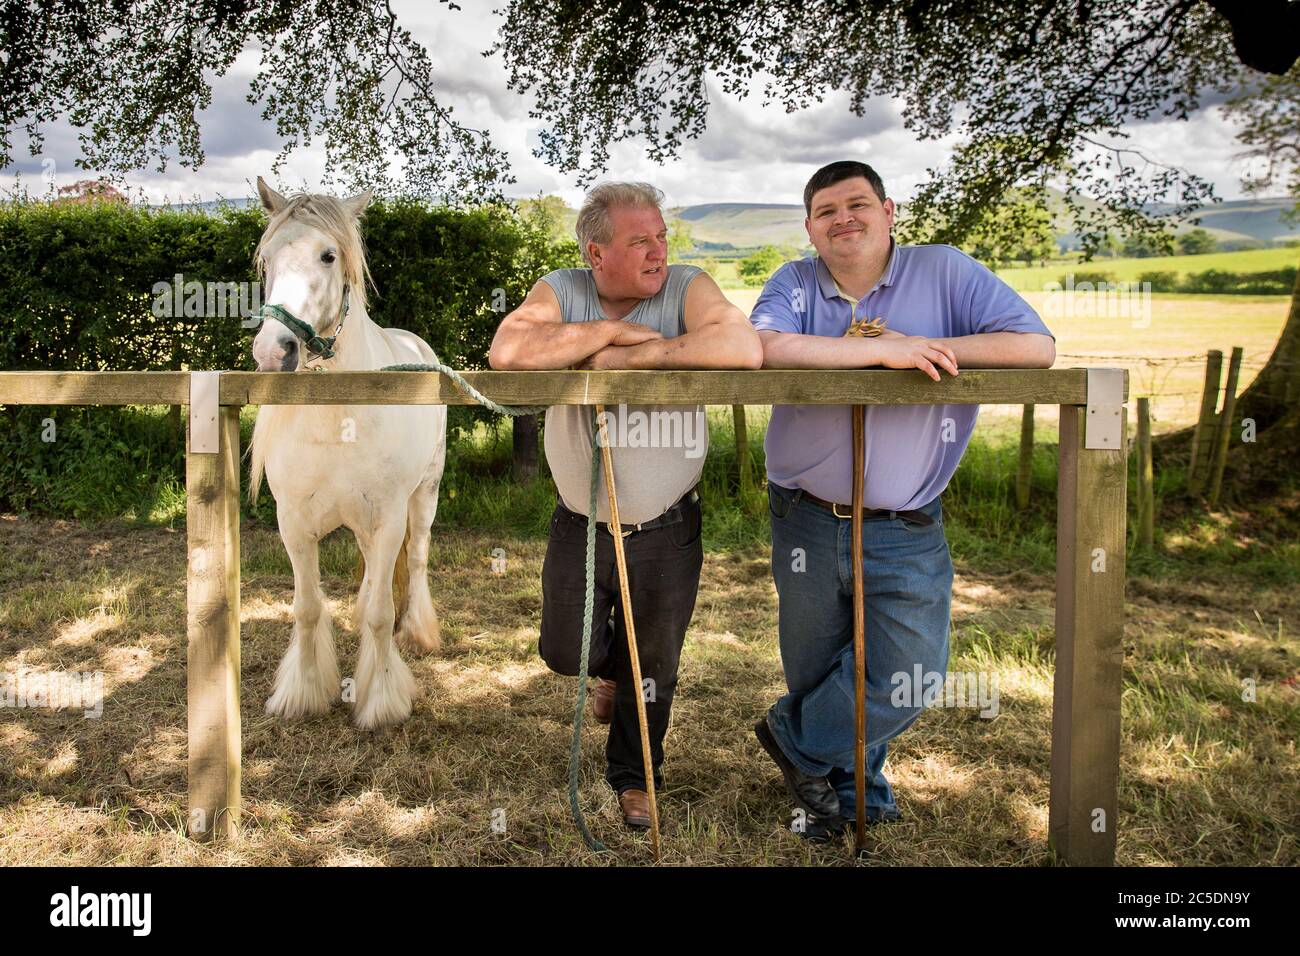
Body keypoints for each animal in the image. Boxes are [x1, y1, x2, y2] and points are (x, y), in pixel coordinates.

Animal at [246, 179, 447, 728]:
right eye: (267, 259)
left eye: (328, 255)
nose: (274, 351)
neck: (338, 422)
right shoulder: (293, 523)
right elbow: (308, 608)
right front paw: (303, 693)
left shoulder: (389, 517)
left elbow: (382, 612)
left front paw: (381, 700)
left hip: (423, 497)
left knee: (415, 561)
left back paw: (417, 632)